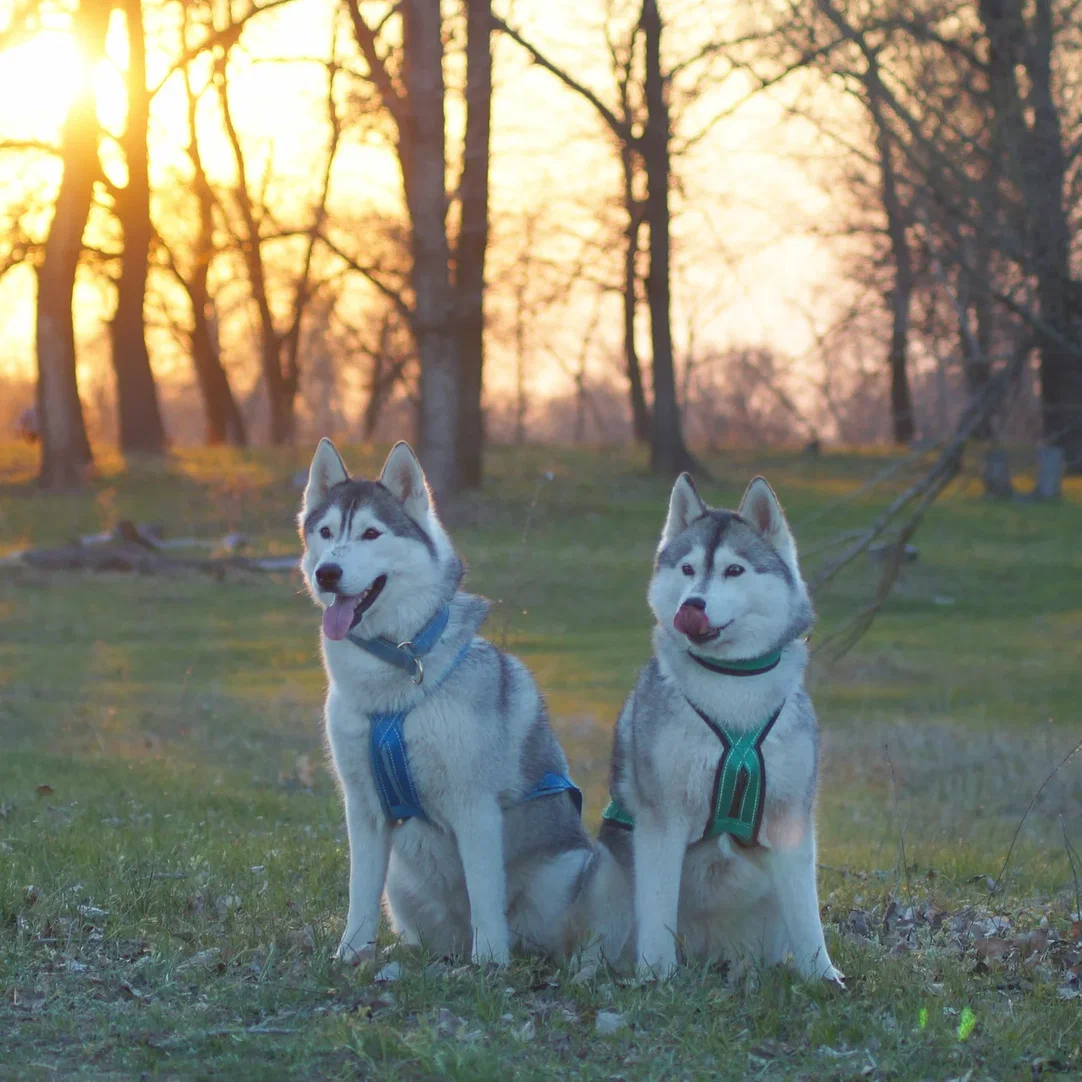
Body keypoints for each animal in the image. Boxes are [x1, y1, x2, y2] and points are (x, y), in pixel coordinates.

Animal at [298, 439, 592, 965]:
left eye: (371, 533)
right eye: (326, 532)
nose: (326, 572)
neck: (395, 672)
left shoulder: (474, 806)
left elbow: (485, 893)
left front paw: (490, 963)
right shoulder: (364, 807)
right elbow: (359, 890)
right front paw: (350, 956)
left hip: (562, 875)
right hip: (403, 884)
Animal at [588, 473, 839, 982]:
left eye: (734, 571)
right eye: (687, 569)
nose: (693, 604)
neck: (731, 687)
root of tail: (706, 954)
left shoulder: (790, 820)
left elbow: (808, 915)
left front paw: (824, 976)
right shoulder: (662, 821)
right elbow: (658, 909)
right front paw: (656, 976)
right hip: (608, 876)